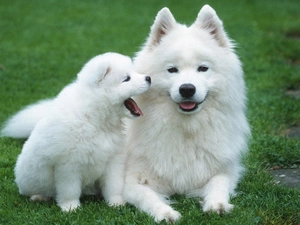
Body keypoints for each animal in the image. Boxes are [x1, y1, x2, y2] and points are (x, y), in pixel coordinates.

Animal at [3, 52, 151, 211]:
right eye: (126, 79)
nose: (148, 78)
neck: (95, 118)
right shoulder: (69, 164)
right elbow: (70, 189)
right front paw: (71, 208)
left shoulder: (114, 159)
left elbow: (114, 185)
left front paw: (116, 203)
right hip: (30, 177)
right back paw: (38, 197)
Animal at [122, 4, 251, 222]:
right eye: (172, 70)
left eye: (203, 68)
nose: (187, 89)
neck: (186, 128)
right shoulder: (130, 180)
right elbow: (147, 196)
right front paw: (165, 213)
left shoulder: (224, 170)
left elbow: (219, 183)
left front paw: (217, 204)